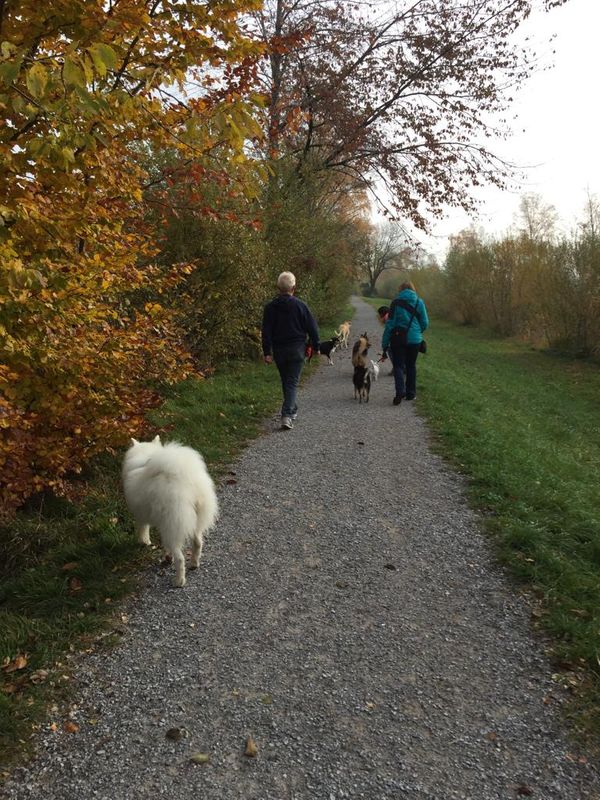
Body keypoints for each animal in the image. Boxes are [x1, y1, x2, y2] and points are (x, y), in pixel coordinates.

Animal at [121, 438, 218, 588]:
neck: (144, 458)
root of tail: (189, 486)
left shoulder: (142, 516)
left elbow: (143, 529)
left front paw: (144, 542)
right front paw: (166, 556)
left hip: (173, 525)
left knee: (180, 558)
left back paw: (179, 581)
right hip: (194, 522)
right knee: (198, 543)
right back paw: (194, 564)